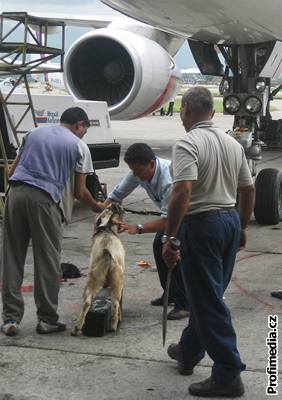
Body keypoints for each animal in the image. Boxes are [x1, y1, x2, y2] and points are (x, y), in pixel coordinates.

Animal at [71, 202, 125, 336]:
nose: (114, 203)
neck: (107, 228)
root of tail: (107, 253)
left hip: (93, 279)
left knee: (87, 302)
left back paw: (77, 327)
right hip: (116, 281)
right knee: (116, 304)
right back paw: (114, 324)